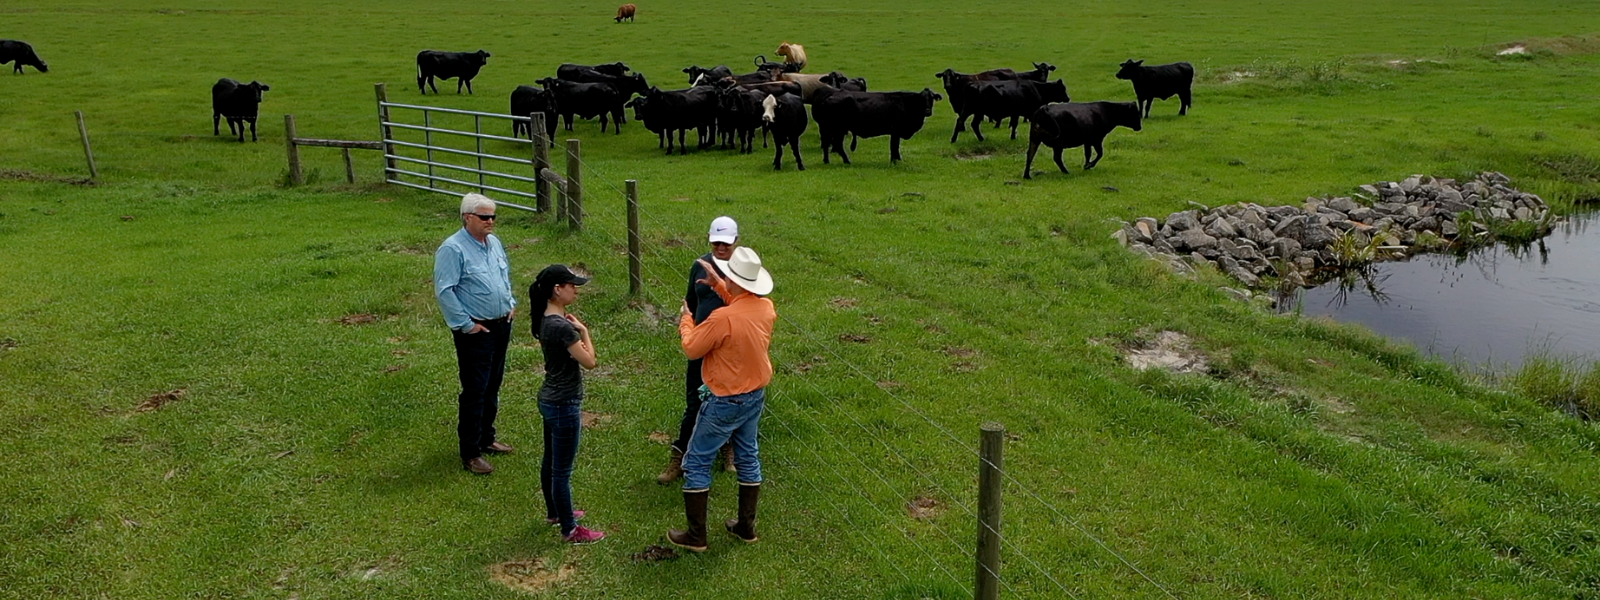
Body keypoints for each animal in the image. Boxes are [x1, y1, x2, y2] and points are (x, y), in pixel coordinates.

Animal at [947, 78, 1075, 142]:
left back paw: (956, 139)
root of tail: (971, 84)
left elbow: (1014, 124)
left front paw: (1013, 136)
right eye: (1062, 88)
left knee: (963, 121)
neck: (1036, 89)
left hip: (970, 110)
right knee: (970, 123)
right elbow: (1016, 124)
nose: (1067, 98)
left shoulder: (1015, 113)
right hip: (976, 111)